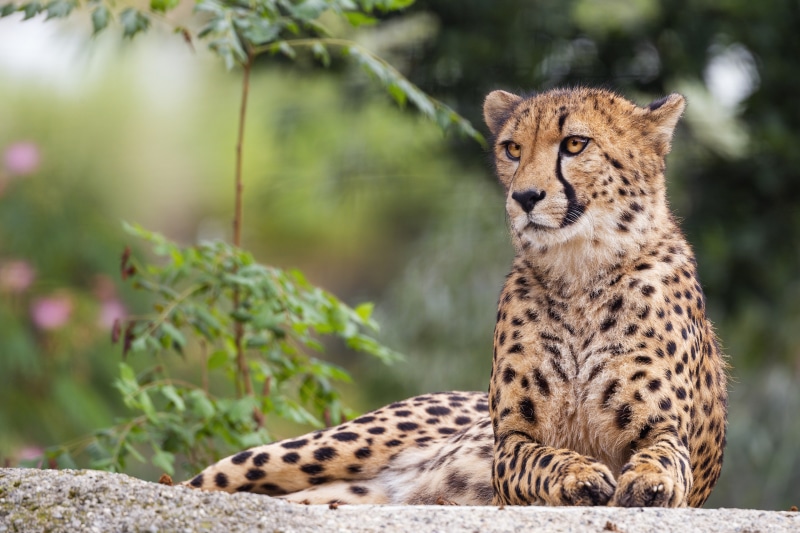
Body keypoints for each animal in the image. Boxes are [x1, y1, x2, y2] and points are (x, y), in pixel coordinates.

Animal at [181, 87, 727, 508]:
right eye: (512, 149)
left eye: (575, 144)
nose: (524, 197)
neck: (579, 271)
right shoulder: (509, 445)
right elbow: (541, 457)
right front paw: (579, 474)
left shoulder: (665, 431)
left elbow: (664, 456)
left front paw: (650, 479)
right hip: (331, 447)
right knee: (203, 480)